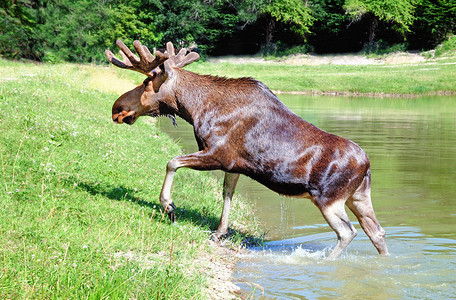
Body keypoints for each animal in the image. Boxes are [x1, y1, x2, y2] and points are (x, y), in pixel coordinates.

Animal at [106, 39, 388, 260]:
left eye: (146, 82)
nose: (116, 108)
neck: (194, 109)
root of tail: (367, 165)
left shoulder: (218, 154)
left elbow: (172, 162)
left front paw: (169, 206)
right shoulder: (234, 165)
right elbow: (227, 194)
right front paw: (219, 233)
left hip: (329, 199)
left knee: (348, 232)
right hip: (358, 196)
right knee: (377, 232)